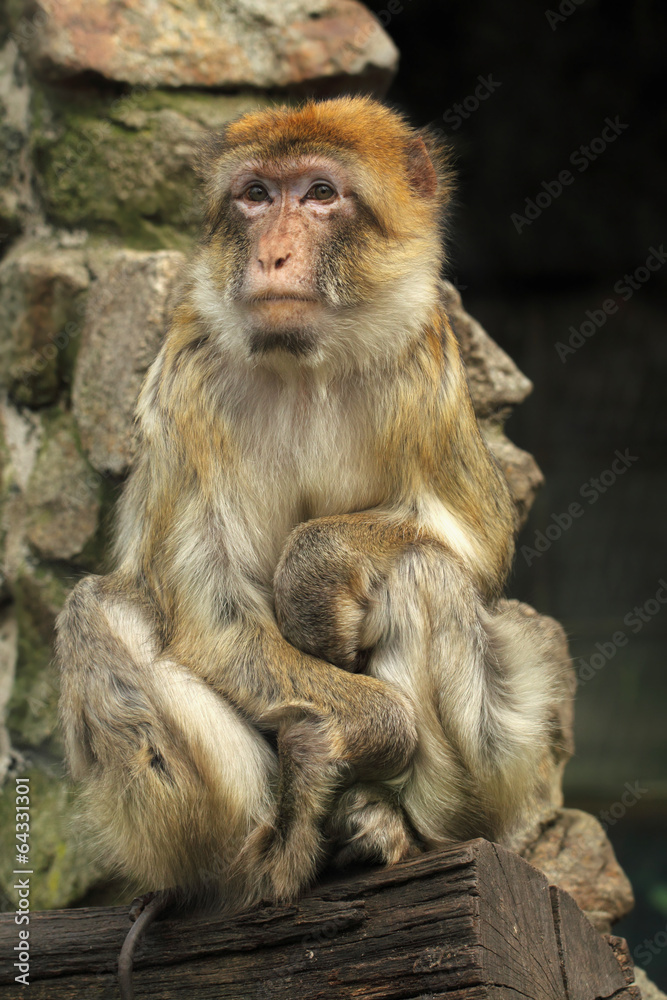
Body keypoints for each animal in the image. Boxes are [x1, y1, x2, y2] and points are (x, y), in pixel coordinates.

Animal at [56, 96, 569, 913]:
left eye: (321, 193)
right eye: (256, 195)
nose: (272, 255)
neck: (303, 361)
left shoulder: (426, 361)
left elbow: (474, 540)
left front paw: (314, 578)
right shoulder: (188, 382)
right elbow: (218, 620)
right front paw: (364, 728)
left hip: (484, 790)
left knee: (425, 574)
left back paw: (385, 826)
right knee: (95, 608)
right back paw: (266, 852)